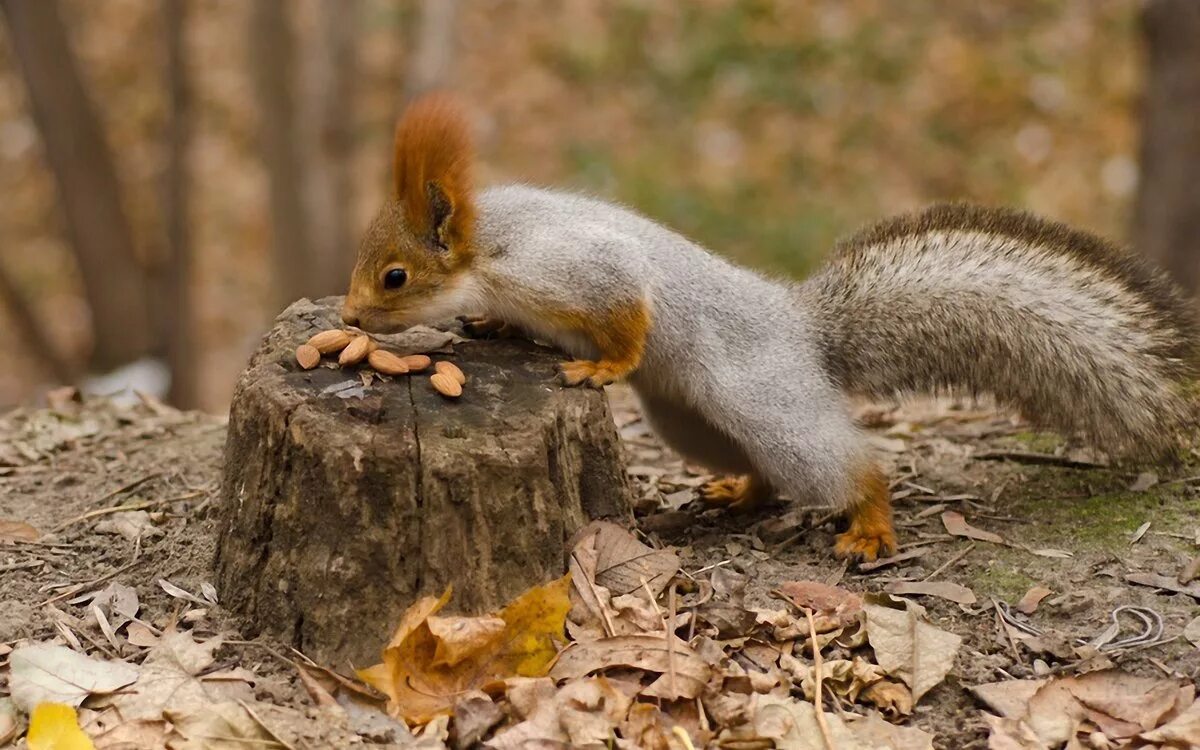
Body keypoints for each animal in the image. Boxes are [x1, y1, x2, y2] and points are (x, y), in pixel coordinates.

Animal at [338, 93, 1200, 559]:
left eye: (395, 277)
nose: (347, 316)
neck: (488, 244)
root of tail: (804, 331)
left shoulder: (569, 267)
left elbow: (628, 306)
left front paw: (602, 366)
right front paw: (490, 326)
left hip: (768, 403)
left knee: (845, 467)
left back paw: (870, 524)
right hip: (691, 421)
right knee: (760, 471)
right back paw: (737, 491)